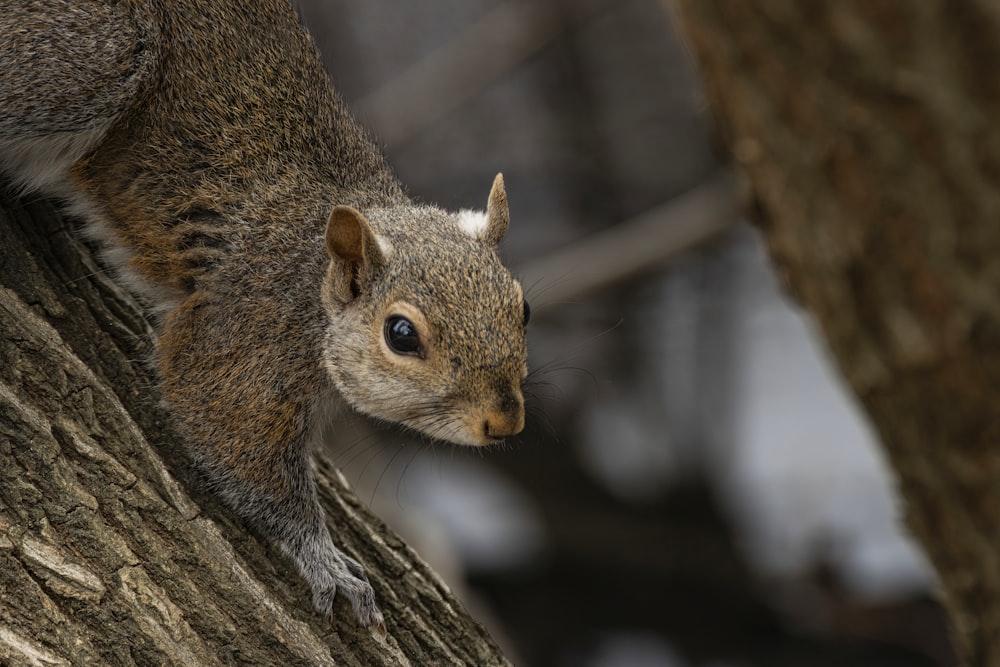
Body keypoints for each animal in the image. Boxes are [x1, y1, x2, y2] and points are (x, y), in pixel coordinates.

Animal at [0, 0, 532, 632]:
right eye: (401, 334)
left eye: (524, 307)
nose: (505, 423)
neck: (313, 285)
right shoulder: (244, 330)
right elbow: (227, 429)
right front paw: (325, 559)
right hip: (90, 58)